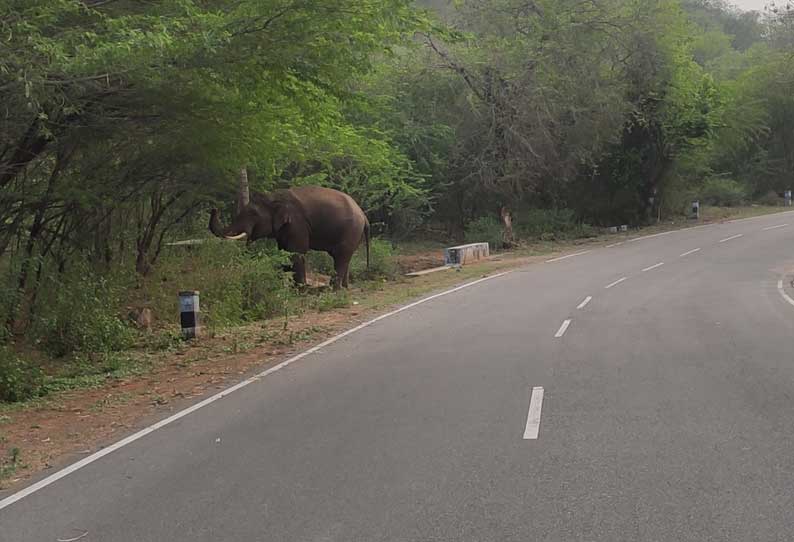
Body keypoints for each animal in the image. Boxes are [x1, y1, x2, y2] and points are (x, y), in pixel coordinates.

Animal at [210, 186, 372, 292]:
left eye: (253, 213)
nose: (214, 208)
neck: (273, 197)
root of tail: (363, 215)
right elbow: (284, 253)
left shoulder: (297, 223)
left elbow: (296, 253)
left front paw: (300, 290)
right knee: (344, 257)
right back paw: (344, 287)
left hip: (351, 230)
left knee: (340, 257)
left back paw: (333, 289)